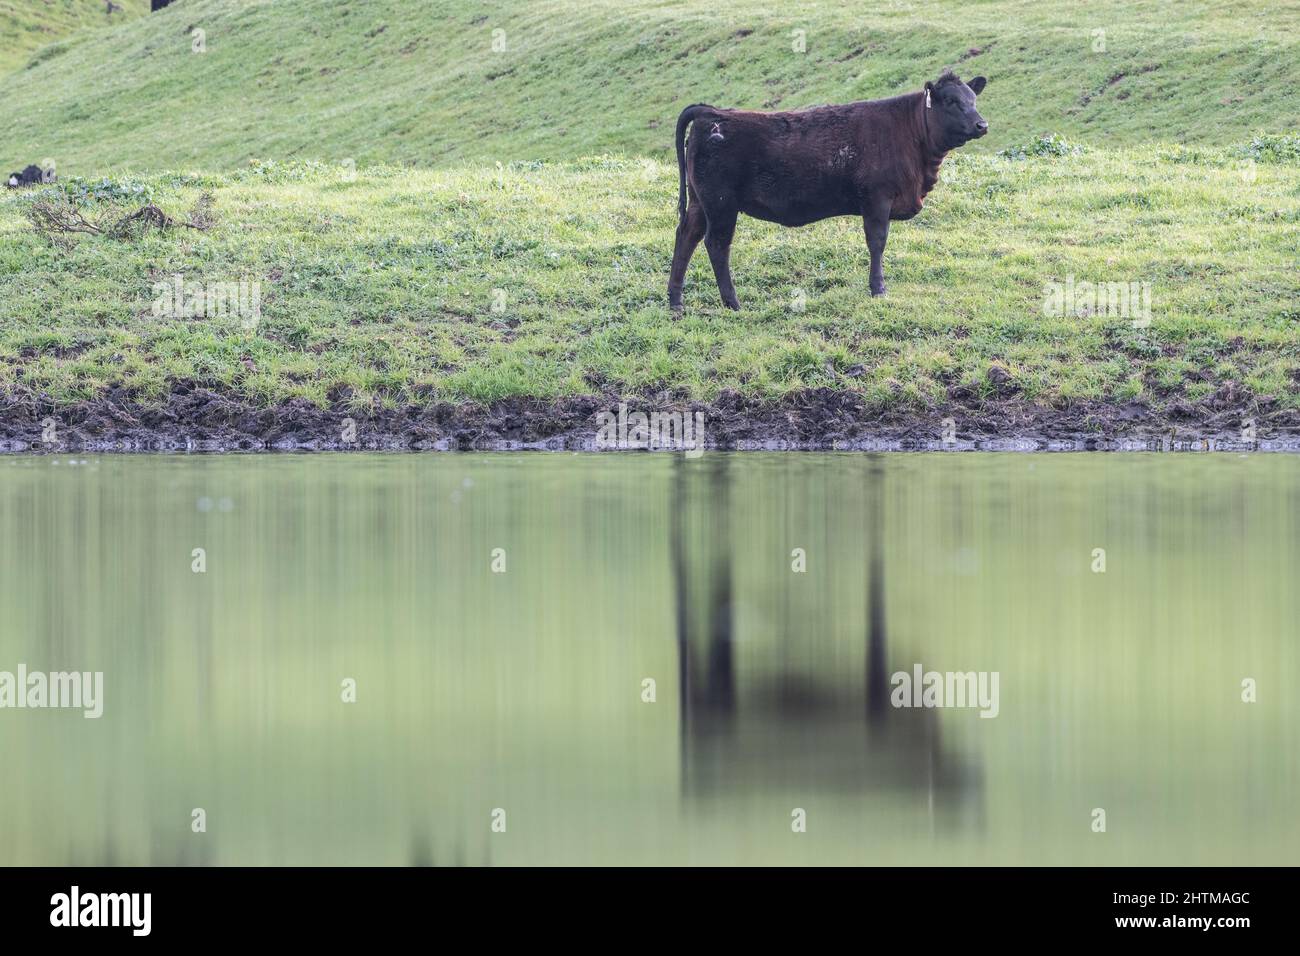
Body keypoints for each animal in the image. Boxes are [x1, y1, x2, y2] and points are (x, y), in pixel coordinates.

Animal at [665, 70, 987, 310]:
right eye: (951, 101)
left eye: (973, 99)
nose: (982, 124)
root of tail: (711, 112)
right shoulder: (877, 199)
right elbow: (877, 242)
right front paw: (878, 288)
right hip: (721, 203)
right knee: (716, 244)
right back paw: (732, 302)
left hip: (700, 202)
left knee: (686, 237)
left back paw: (676, 302)